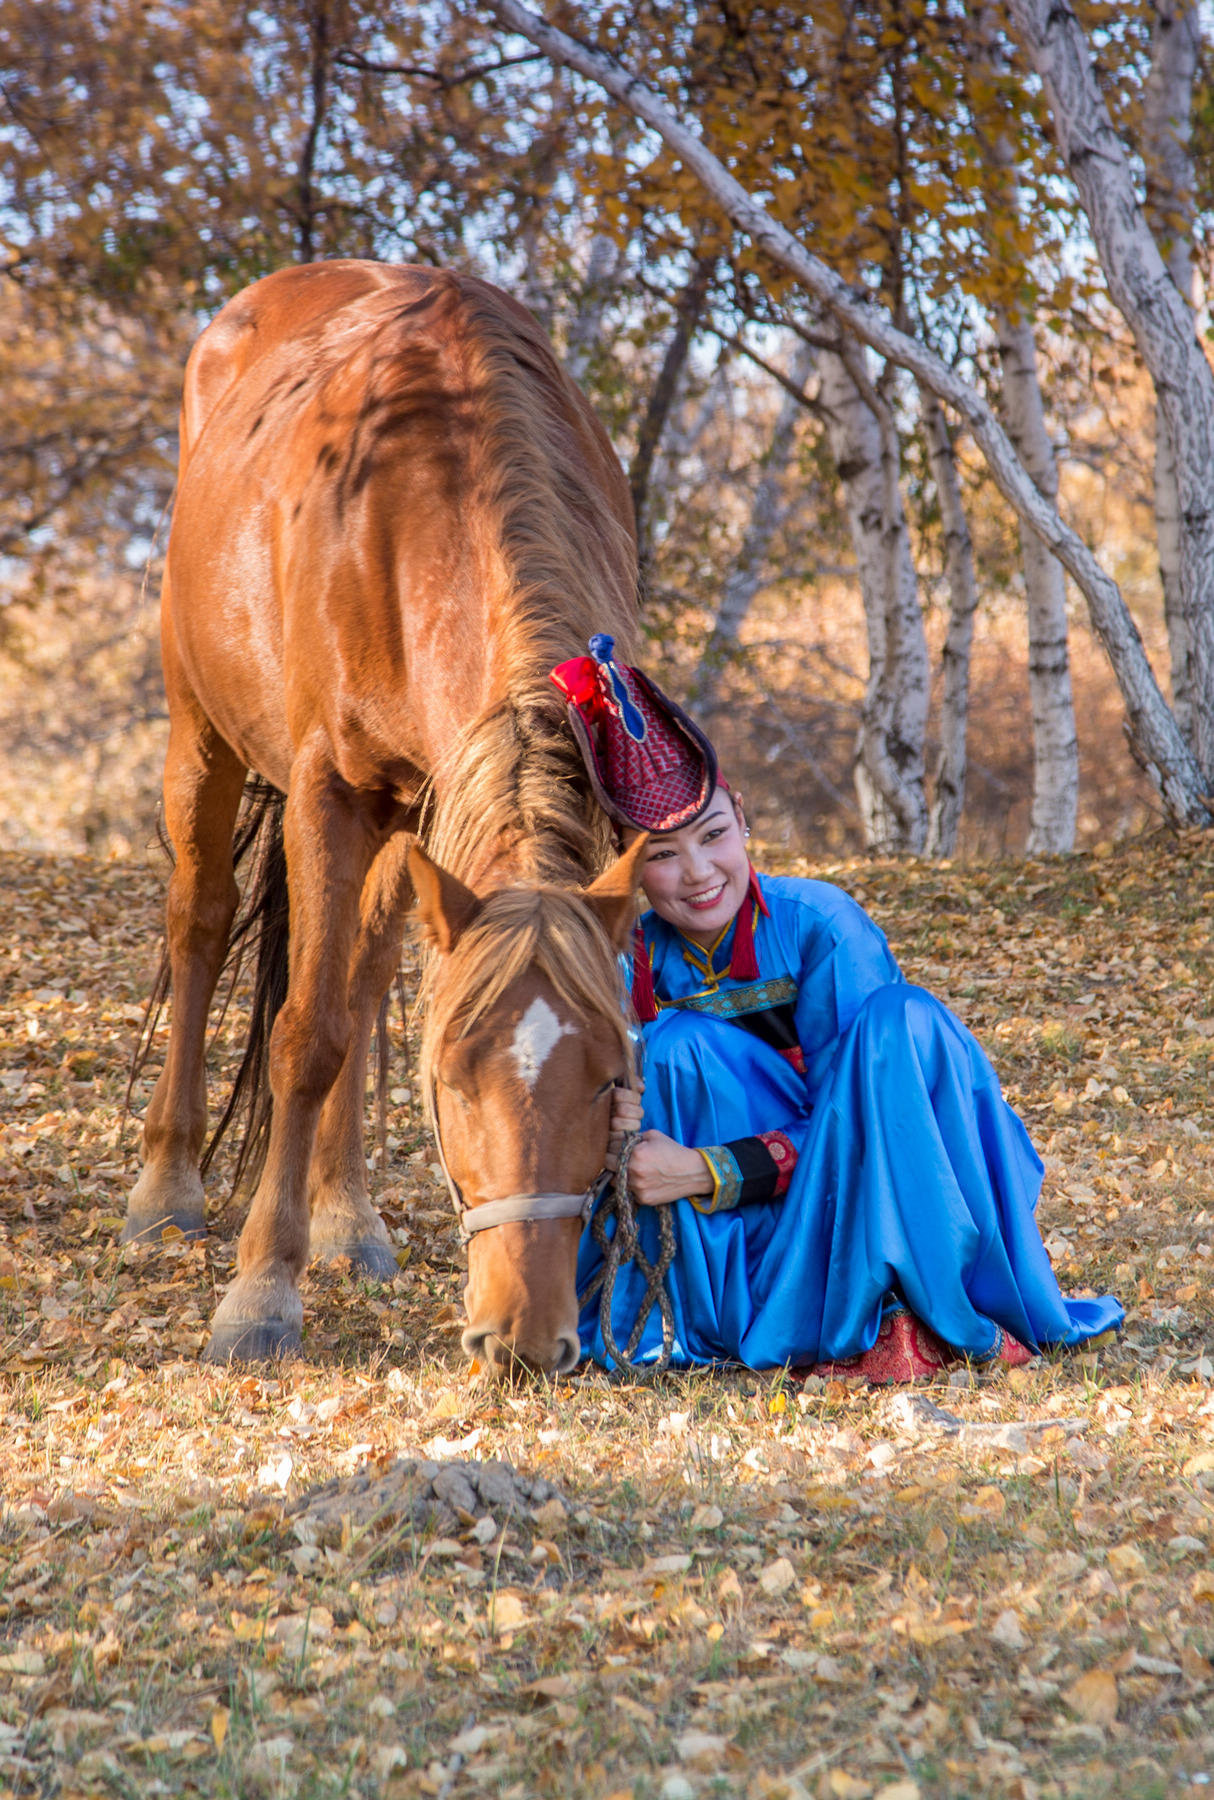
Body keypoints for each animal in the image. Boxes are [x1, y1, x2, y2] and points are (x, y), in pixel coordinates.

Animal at [125, 262, 641, 1360]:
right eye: (451, 1078)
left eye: (612, 1076)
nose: (525, 1333)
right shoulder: (328, 790)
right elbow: (306, 1034)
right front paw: (259, 1296)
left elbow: (347, 1009)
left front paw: (327, 1232)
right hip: (202, 733)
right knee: (201, 921)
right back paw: (166, 1184)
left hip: (406, 816)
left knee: (360, 979)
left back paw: (345, 1218)